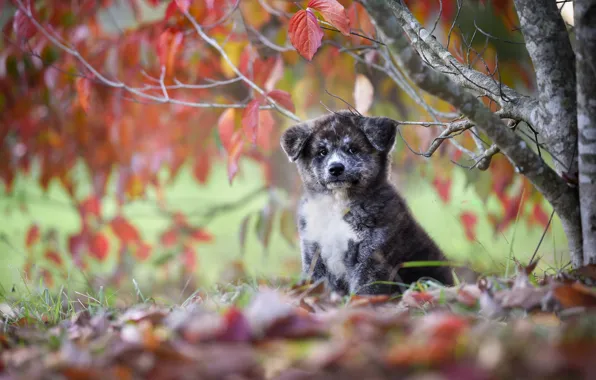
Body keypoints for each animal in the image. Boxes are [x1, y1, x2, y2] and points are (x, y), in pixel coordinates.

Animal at [280, 110, 452, 294]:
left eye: (352, 149)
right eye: (321, 152)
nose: (335, 168)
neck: (337, 206)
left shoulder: (371, 255)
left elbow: (365, 289)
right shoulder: (313, 251)